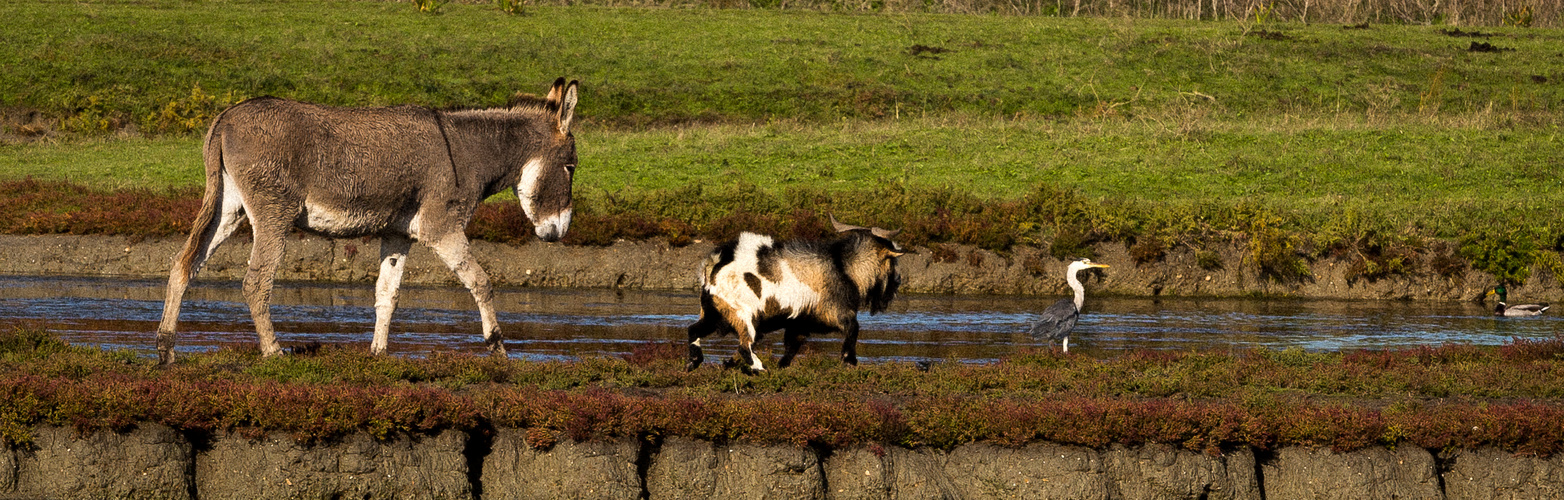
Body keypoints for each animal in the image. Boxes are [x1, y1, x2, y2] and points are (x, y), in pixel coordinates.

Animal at [685, 217, 907, 371]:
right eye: (893, 261)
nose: (897, 282)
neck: (843, 267)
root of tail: (713, 265)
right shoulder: (834, 311)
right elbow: (853, 327)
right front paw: (849, 360)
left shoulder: (799, 321)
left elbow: (792, 346)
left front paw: (779, 366)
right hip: (743, 314)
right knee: (744, 345)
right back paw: (760, 369)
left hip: (714, 312)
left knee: (693, 330)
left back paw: (693, 363)